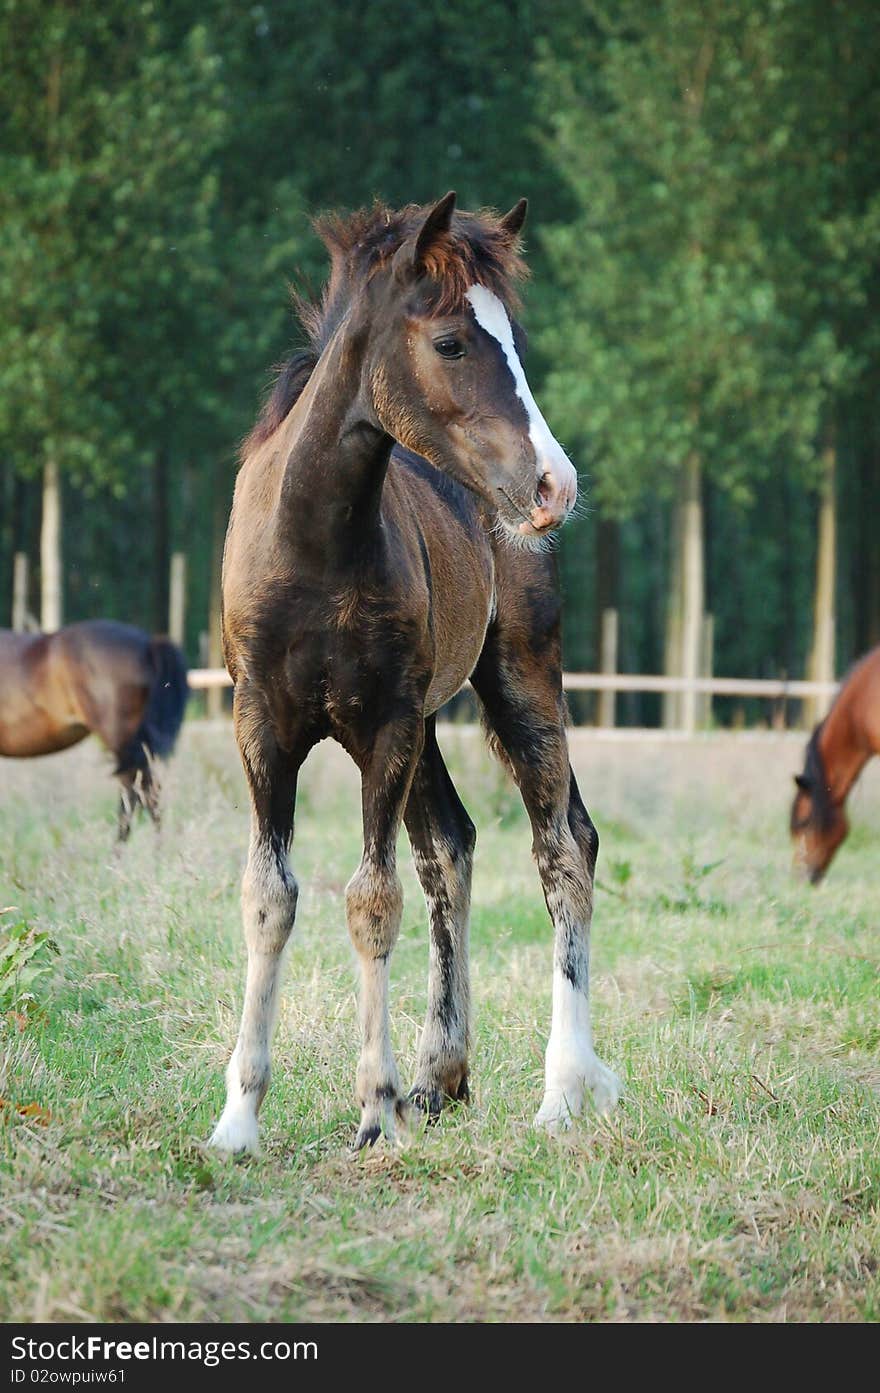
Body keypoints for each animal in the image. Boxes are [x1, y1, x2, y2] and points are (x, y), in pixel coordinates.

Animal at [210, 190, 618, 1158]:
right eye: (451, 342)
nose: (553, 486)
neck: (315, 541)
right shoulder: (262, 726)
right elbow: (270, 897)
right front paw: (239, 1117)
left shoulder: (383, 726)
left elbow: (372, 900)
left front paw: (375, 1108)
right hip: (432, 722)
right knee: (454, 846)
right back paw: (443, 1075)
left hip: (519, 679)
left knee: (562, 849)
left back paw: (560, 1091)